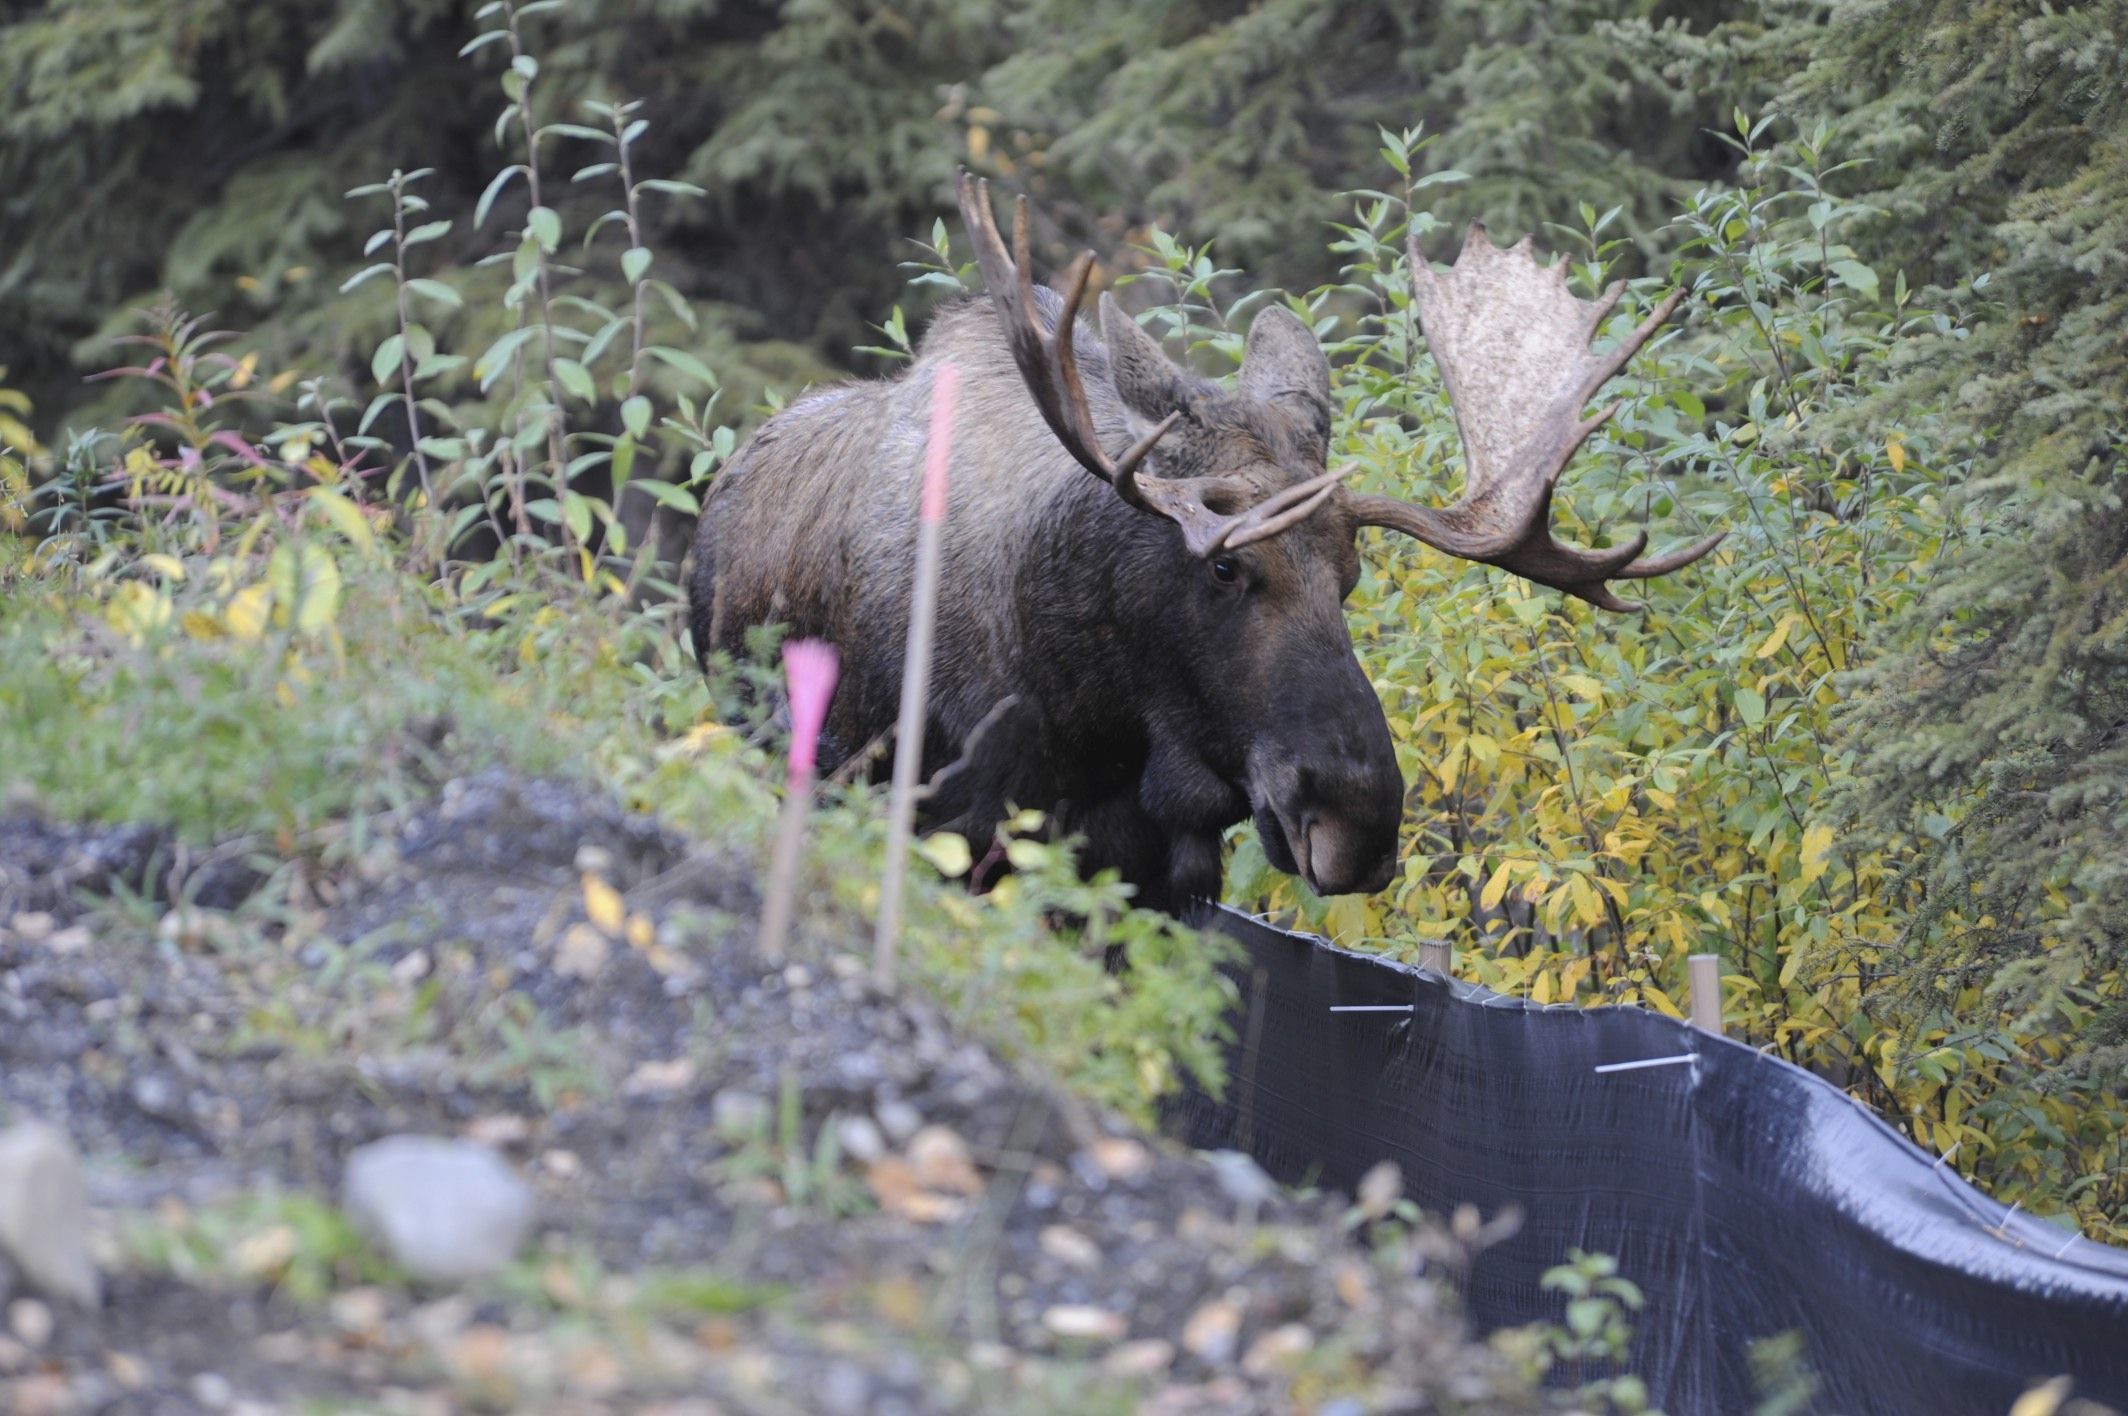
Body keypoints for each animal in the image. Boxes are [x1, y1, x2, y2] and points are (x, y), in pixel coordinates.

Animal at [689, 176, 1719, 911]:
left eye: (1350, 579)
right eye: (1226, 564)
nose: (1359, 822)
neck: (1084, 713)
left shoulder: (1154, 874)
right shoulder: (943, 822)